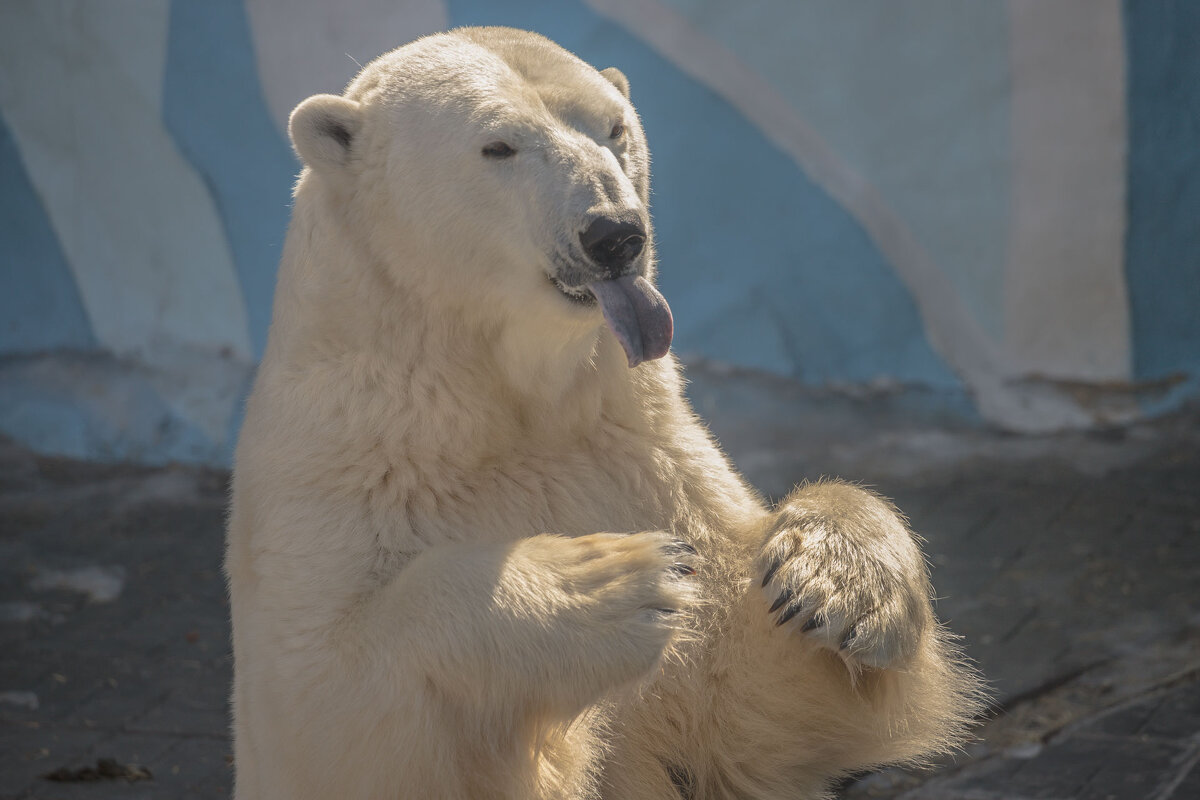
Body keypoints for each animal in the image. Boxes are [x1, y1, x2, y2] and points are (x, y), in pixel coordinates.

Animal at [226, 26, 984, 800]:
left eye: (615, 128)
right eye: (498, 145)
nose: (616, 234)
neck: (497, 399)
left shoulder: (637, 447)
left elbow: (752, 700)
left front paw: (833, 585)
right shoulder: (337, 469)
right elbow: (323, 703)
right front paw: (613, 583)